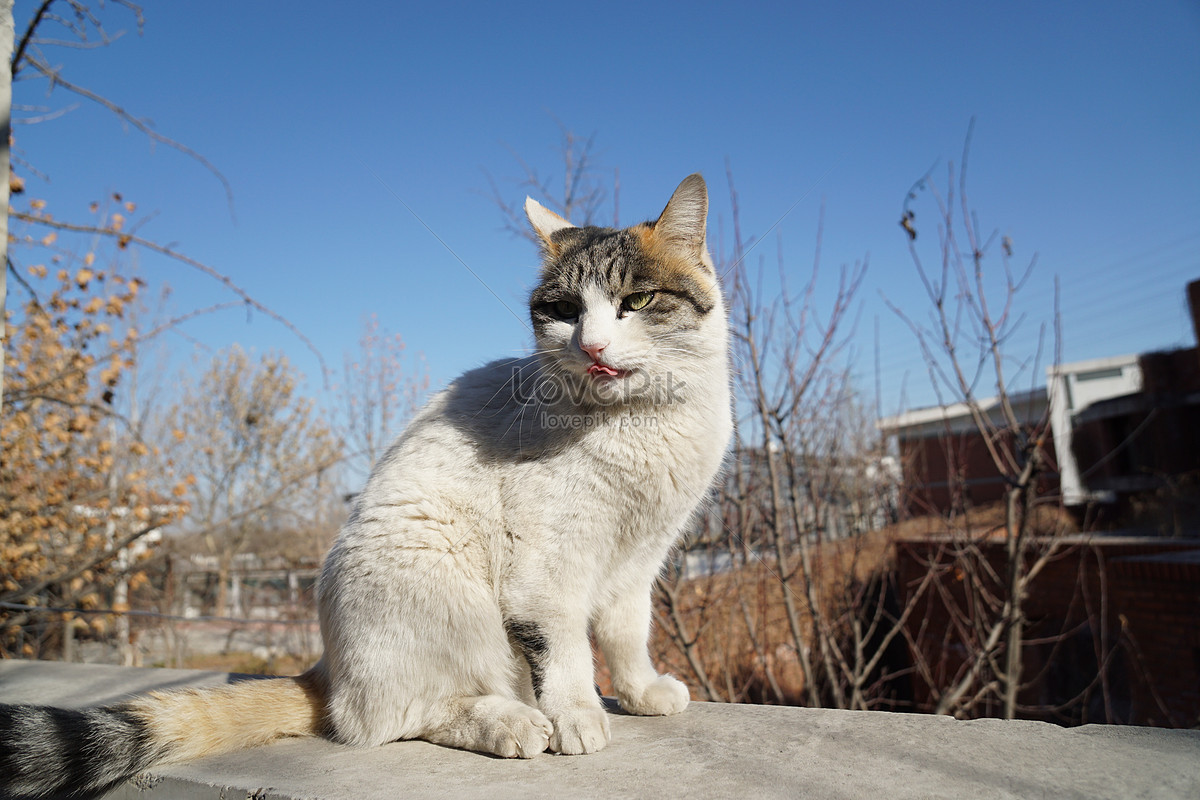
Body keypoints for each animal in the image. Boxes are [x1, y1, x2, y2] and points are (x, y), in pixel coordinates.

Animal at [0, 172, 729, 796]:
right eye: (566, 310)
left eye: (636, 302)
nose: (592, 347)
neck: (641, 423)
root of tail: (326, 668)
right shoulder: (549, 565)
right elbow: (567, 645)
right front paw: (578, 714)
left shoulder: (639, 556)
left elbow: (626, 634)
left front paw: (641, 692)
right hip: (432, 575)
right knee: (384, 718)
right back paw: (508, 722)